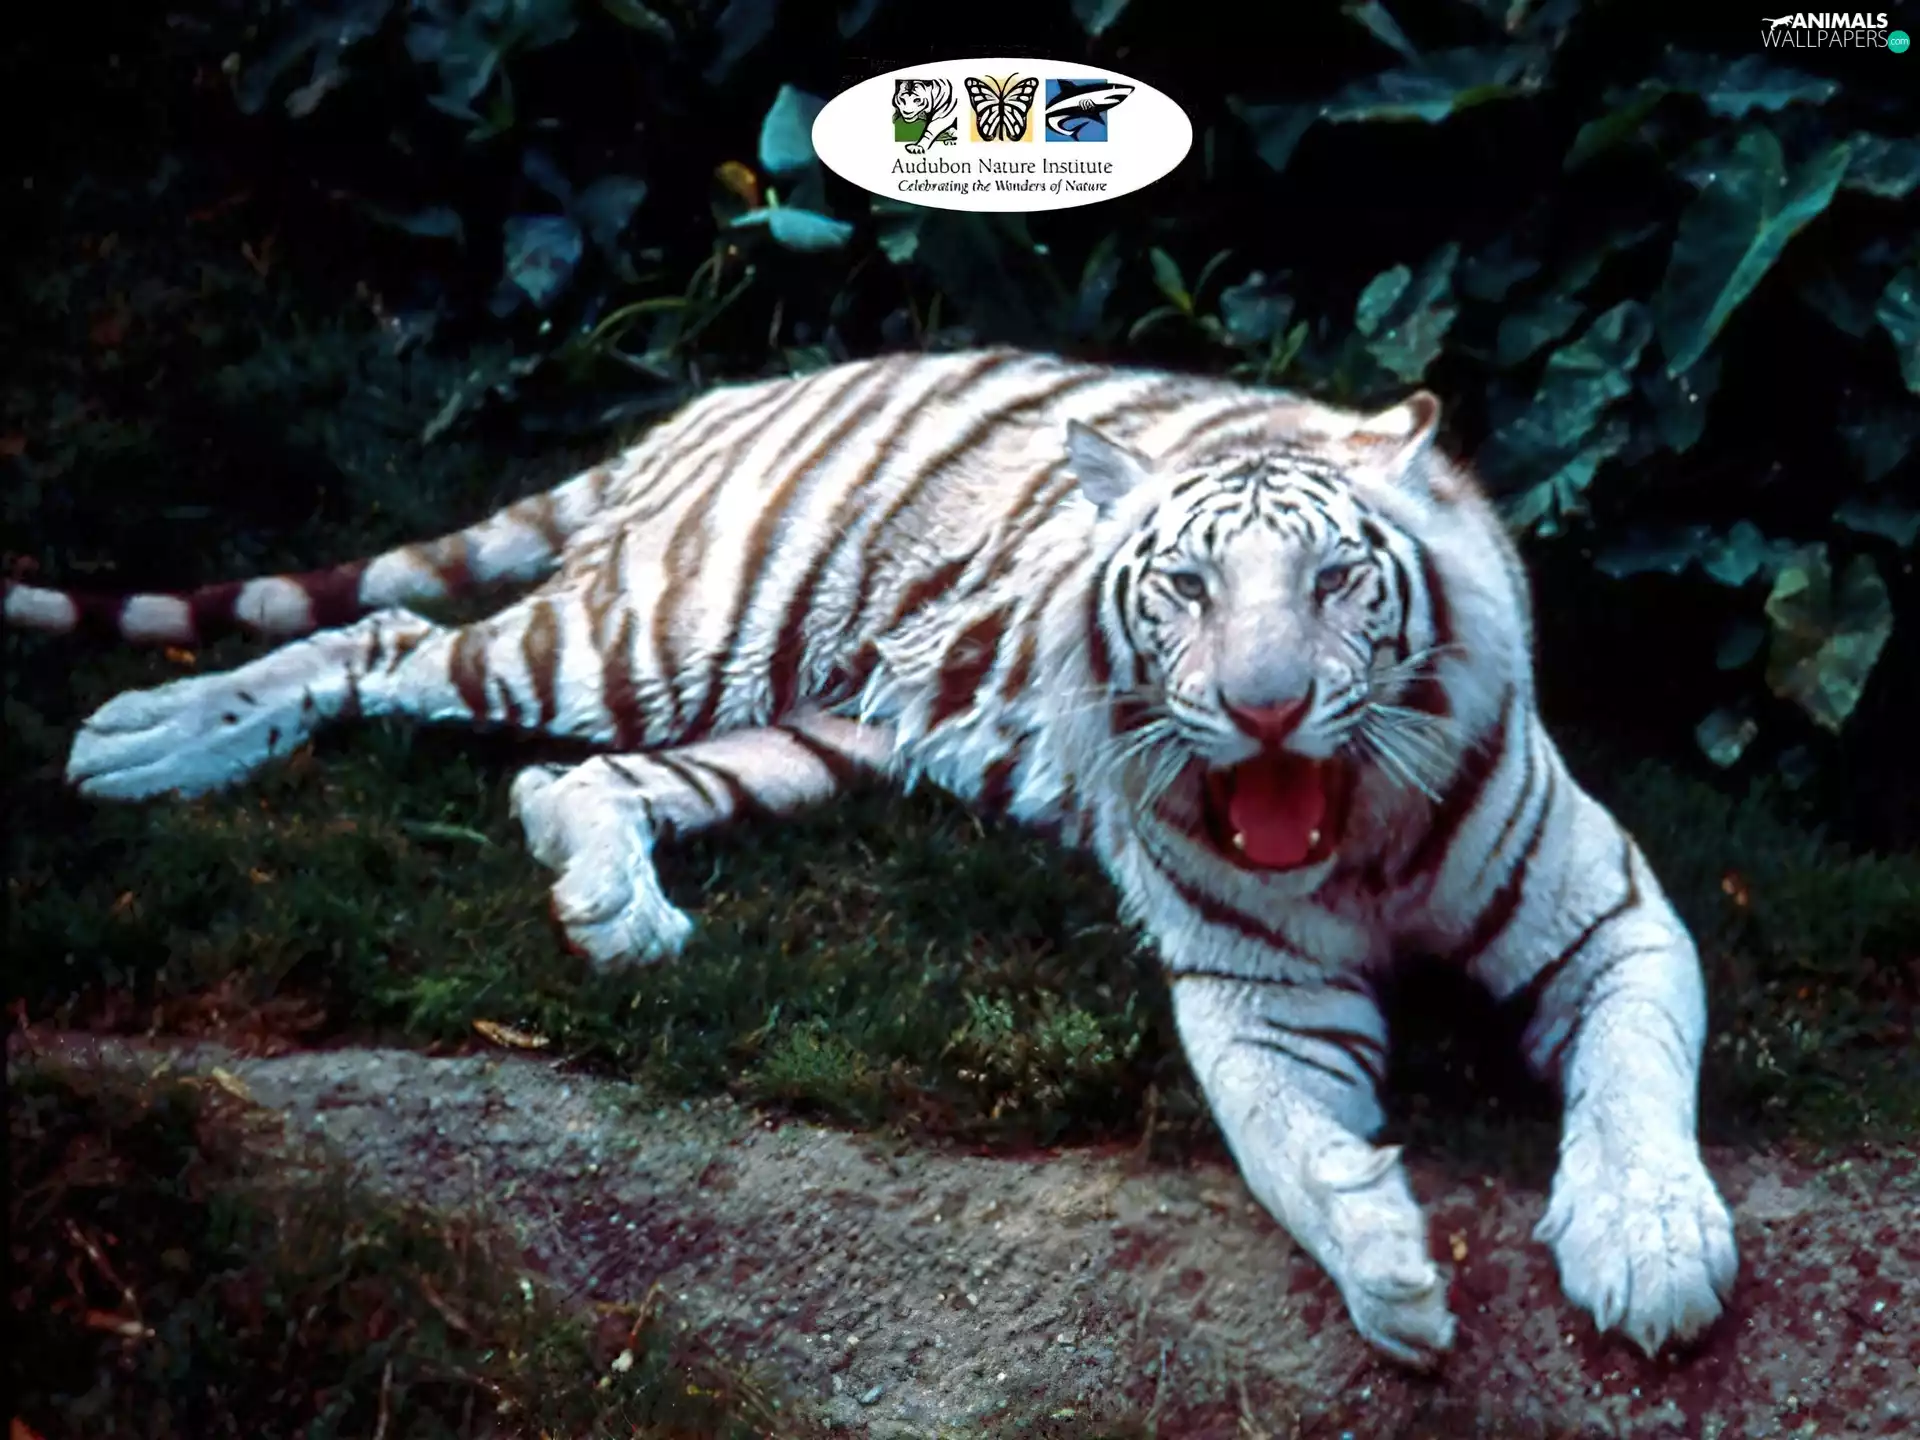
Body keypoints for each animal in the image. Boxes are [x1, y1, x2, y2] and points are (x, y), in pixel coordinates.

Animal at [4, 347, 1739, 1368]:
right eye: (1185, 588)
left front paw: (1651, 1252)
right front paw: (1389, 1263)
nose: (1262, 709)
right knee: (386, 645)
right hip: (658, 636)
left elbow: (1637, 1079)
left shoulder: (1612, 917)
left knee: (573, 785)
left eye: (1334, 583)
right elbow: (1289, 1150)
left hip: (825, 726)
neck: (1355, 844)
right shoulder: (1252, 995)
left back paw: (617, 913)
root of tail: (719, 397)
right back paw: (143, 741)